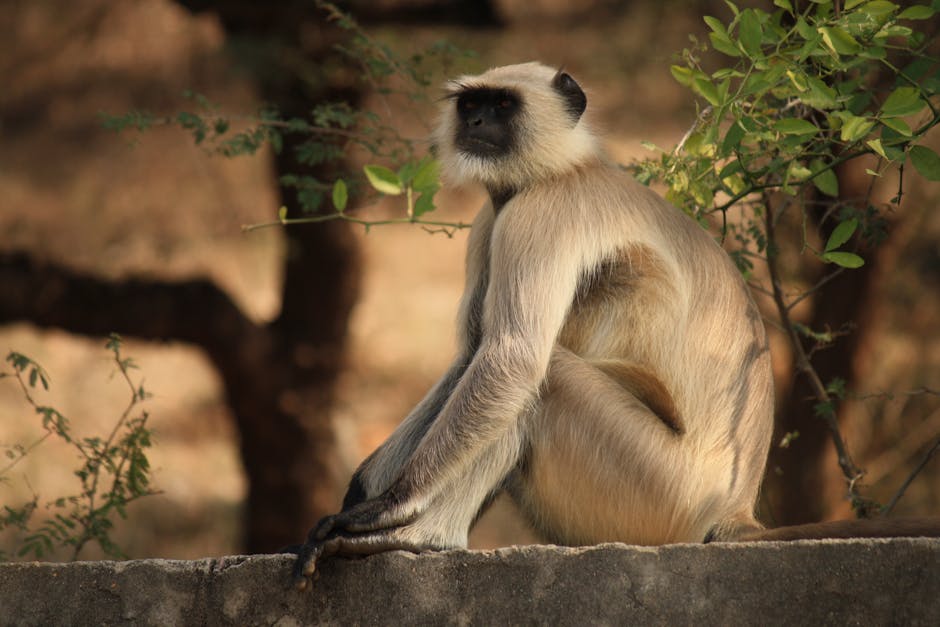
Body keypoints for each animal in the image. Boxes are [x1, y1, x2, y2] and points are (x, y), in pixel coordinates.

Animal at [290, 61, 936, 592]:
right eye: (471, 102)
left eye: (501, 105)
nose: (472, 119)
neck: (565, 168)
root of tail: (735, 512)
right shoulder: (493, 219)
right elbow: (474, 351)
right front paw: (362, 488)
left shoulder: (541, 212)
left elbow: (510, 357)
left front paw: (385, 510)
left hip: (657, 492)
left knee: (546, 377)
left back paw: (420, 538)